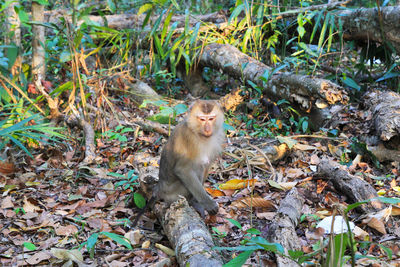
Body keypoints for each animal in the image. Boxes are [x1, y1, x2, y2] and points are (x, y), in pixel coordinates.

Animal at [131, 99, 225, 227]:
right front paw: (208, 204)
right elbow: (183, 169)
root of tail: (159, 188)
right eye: (202, 119)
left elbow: (207, 165)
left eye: (211, 119)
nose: (207, 129)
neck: (198, 134)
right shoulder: (190, 140)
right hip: (172, 192)